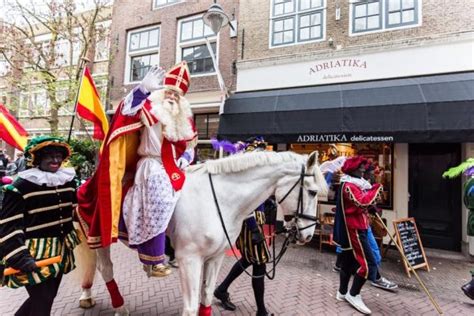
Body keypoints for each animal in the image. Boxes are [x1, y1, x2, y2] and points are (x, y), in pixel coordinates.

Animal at [75, 151, 326, 316]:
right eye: (313, 192)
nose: (308, 235)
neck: (218, 199)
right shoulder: (190, 260)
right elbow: (190, 306)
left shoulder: (214, 258)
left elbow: (206, 297)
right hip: (100, 239)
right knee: (106, 269)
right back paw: (120, 307)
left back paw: (87, 296)